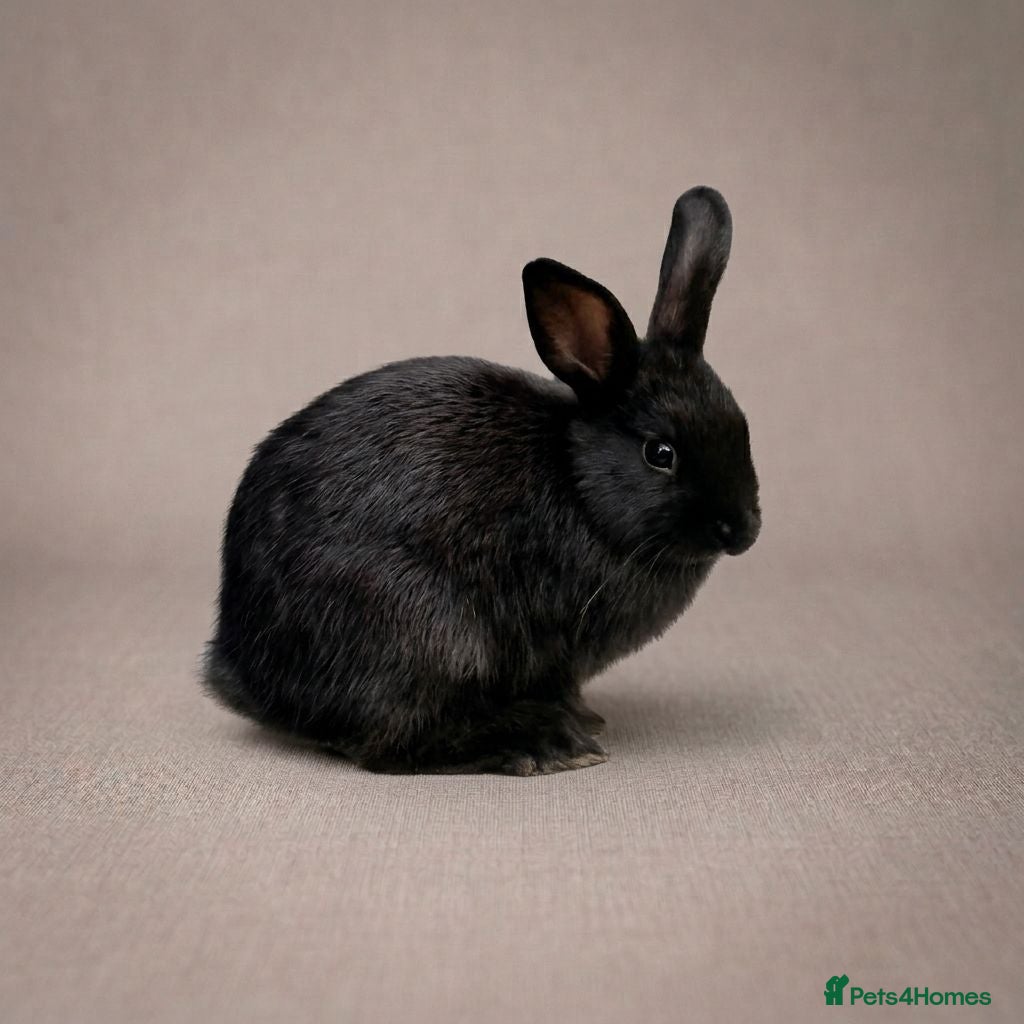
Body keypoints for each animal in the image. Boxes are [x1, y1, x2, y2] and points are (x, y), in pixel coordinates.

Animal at [203, 186, 761, 775]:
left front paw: (584, 714)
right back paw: (540, 744)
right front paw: (568, 725)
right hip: (430, 630)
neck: (579, 483)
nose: (741, 530)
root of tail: (241, 670)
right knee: (391, 746)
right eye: (661, 453)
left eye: (742, 428)